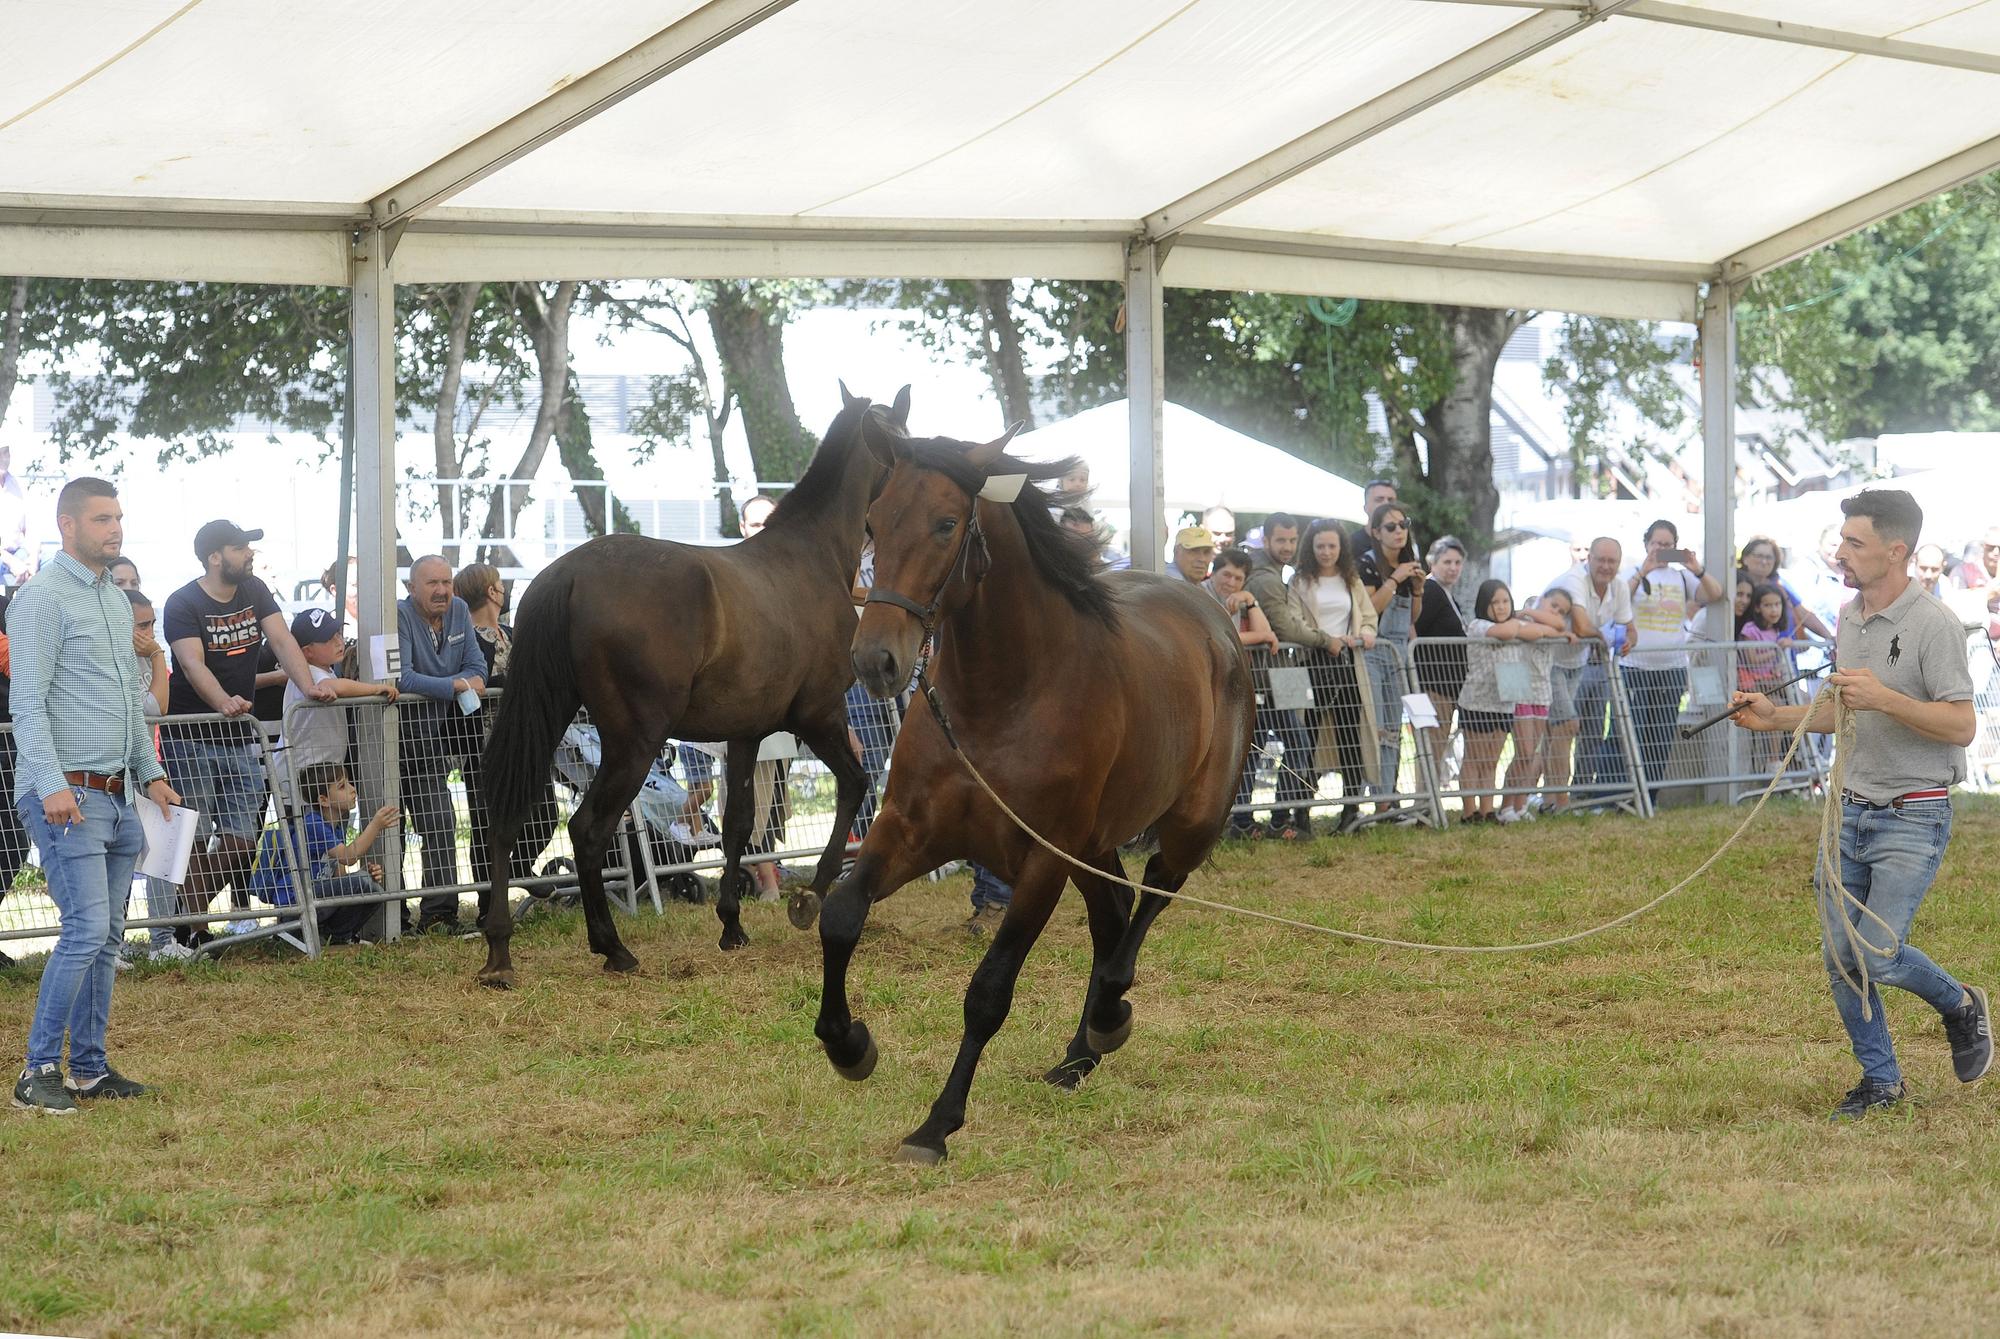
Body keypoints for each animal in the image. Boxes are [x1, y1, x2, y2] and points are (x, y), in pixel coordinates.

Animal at [468, 383, 908, 991]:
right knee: (588, 830)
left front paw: (732, 925)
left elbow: (739, 825)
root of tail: (568, 574)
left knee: (508, 815)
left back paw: (499, 950)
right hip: (633, 742)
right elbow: (855, 785)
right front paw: (812, 896)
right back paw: (613, 947)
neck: (810, 556)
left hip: (547, 715)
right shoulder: (820, 715)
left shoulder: (747, 735)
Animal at [808, 417, 1248, 1167]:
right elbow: (840, 915)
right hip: (1094, 846)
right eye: (872, 521)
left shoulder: (1042, 861)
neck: (1001, 697)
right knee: (1114, 916)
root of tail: (1211, 613)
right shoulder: (911, 831)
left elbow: (988, 991)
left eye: (946, 523)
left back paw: (1106, 1020)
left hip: (1186, 824)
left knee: (1150, 901)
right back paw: (1079, 1052)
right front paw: (850, 1045)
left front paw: (936, 1125)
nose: (875, 660)